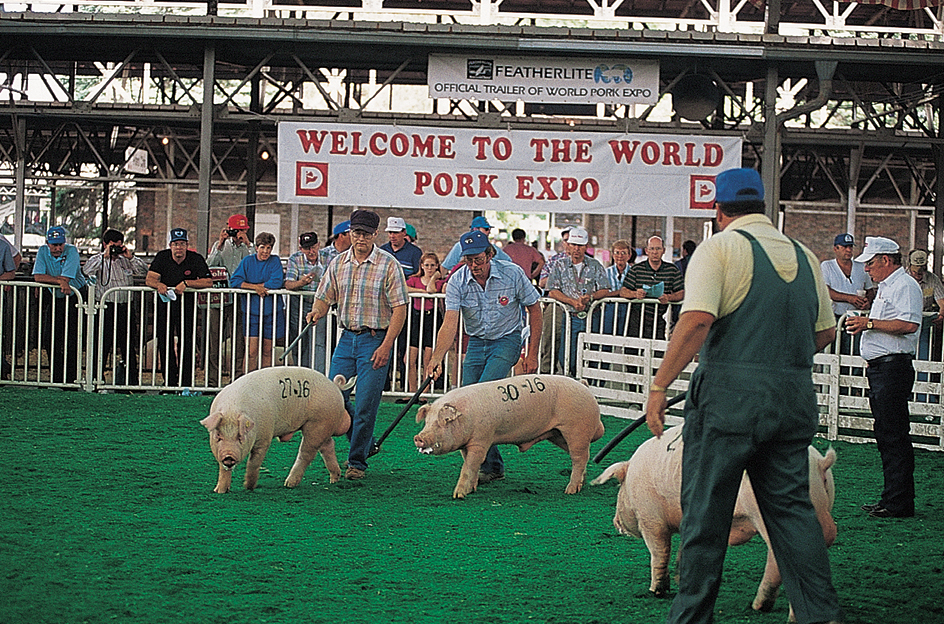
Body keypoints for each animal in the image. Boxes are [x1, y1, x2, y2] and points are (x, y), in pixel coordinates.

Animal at [197, 366, 352, 492]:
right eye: (218, 436)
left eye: (240, 437)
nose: (228, 457)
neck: (232, 409)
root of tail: (334, 386)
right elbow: (223, 470)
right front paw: (219, 491)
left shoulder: (265, 436)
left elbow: (254, 463)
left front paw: (248, 486)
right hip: (322, 425)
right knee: (328, 446)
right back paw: (334, 479)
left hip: (317, 424)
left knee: (306, 453)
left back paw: (289, 484)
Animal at [412, 372, 604, 500]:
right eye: (427, 422)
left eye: (441, 423)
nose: (418, 437)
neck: (467, 417)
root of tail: (584, 386)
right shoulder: (467, 445)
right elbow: (471, 466)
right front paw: (472, 489)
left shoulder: (481, 439)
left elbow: (468, 467)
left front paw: (458, 495)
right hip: (557, 435)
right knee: (583, 456)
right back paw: (580, 485)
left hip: (575, 429)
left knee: (579, 458)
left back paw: (570, 490)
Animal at [592, 424, 836, 620]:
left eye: (618, 488)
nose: (615, 522)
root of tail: (820, 464)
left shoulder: (651, 518)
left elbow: (659, 551)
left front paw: (656, 591)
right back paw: (759, 606)